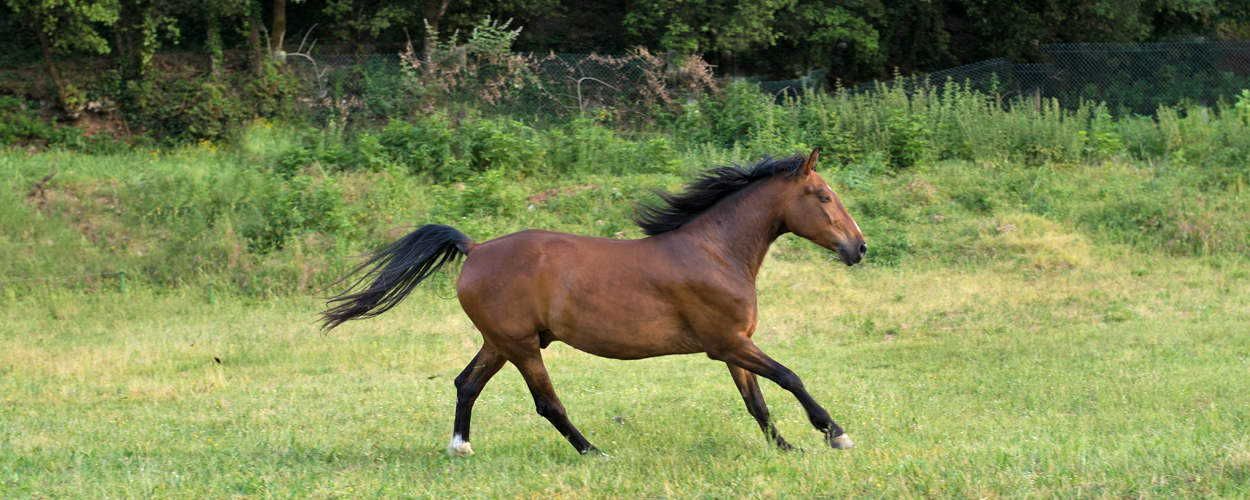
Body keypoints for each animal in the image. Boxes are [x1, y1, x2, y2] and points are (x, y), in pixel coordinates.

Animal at [322, 146, 865, 455]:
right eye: (823, 196)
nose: (859, 248)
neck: (716, 251)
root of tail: (474, 249)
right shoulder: (726, 343)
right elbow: (790, 378)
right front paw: (835, 433)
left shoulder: (735, 346)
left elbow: (757, 403)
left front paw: (787, 447)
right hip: (522, 347)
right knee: (547, 404)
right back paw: (594, 452)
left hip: (501, 342)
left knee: (466, 384)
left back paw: (461, 448)